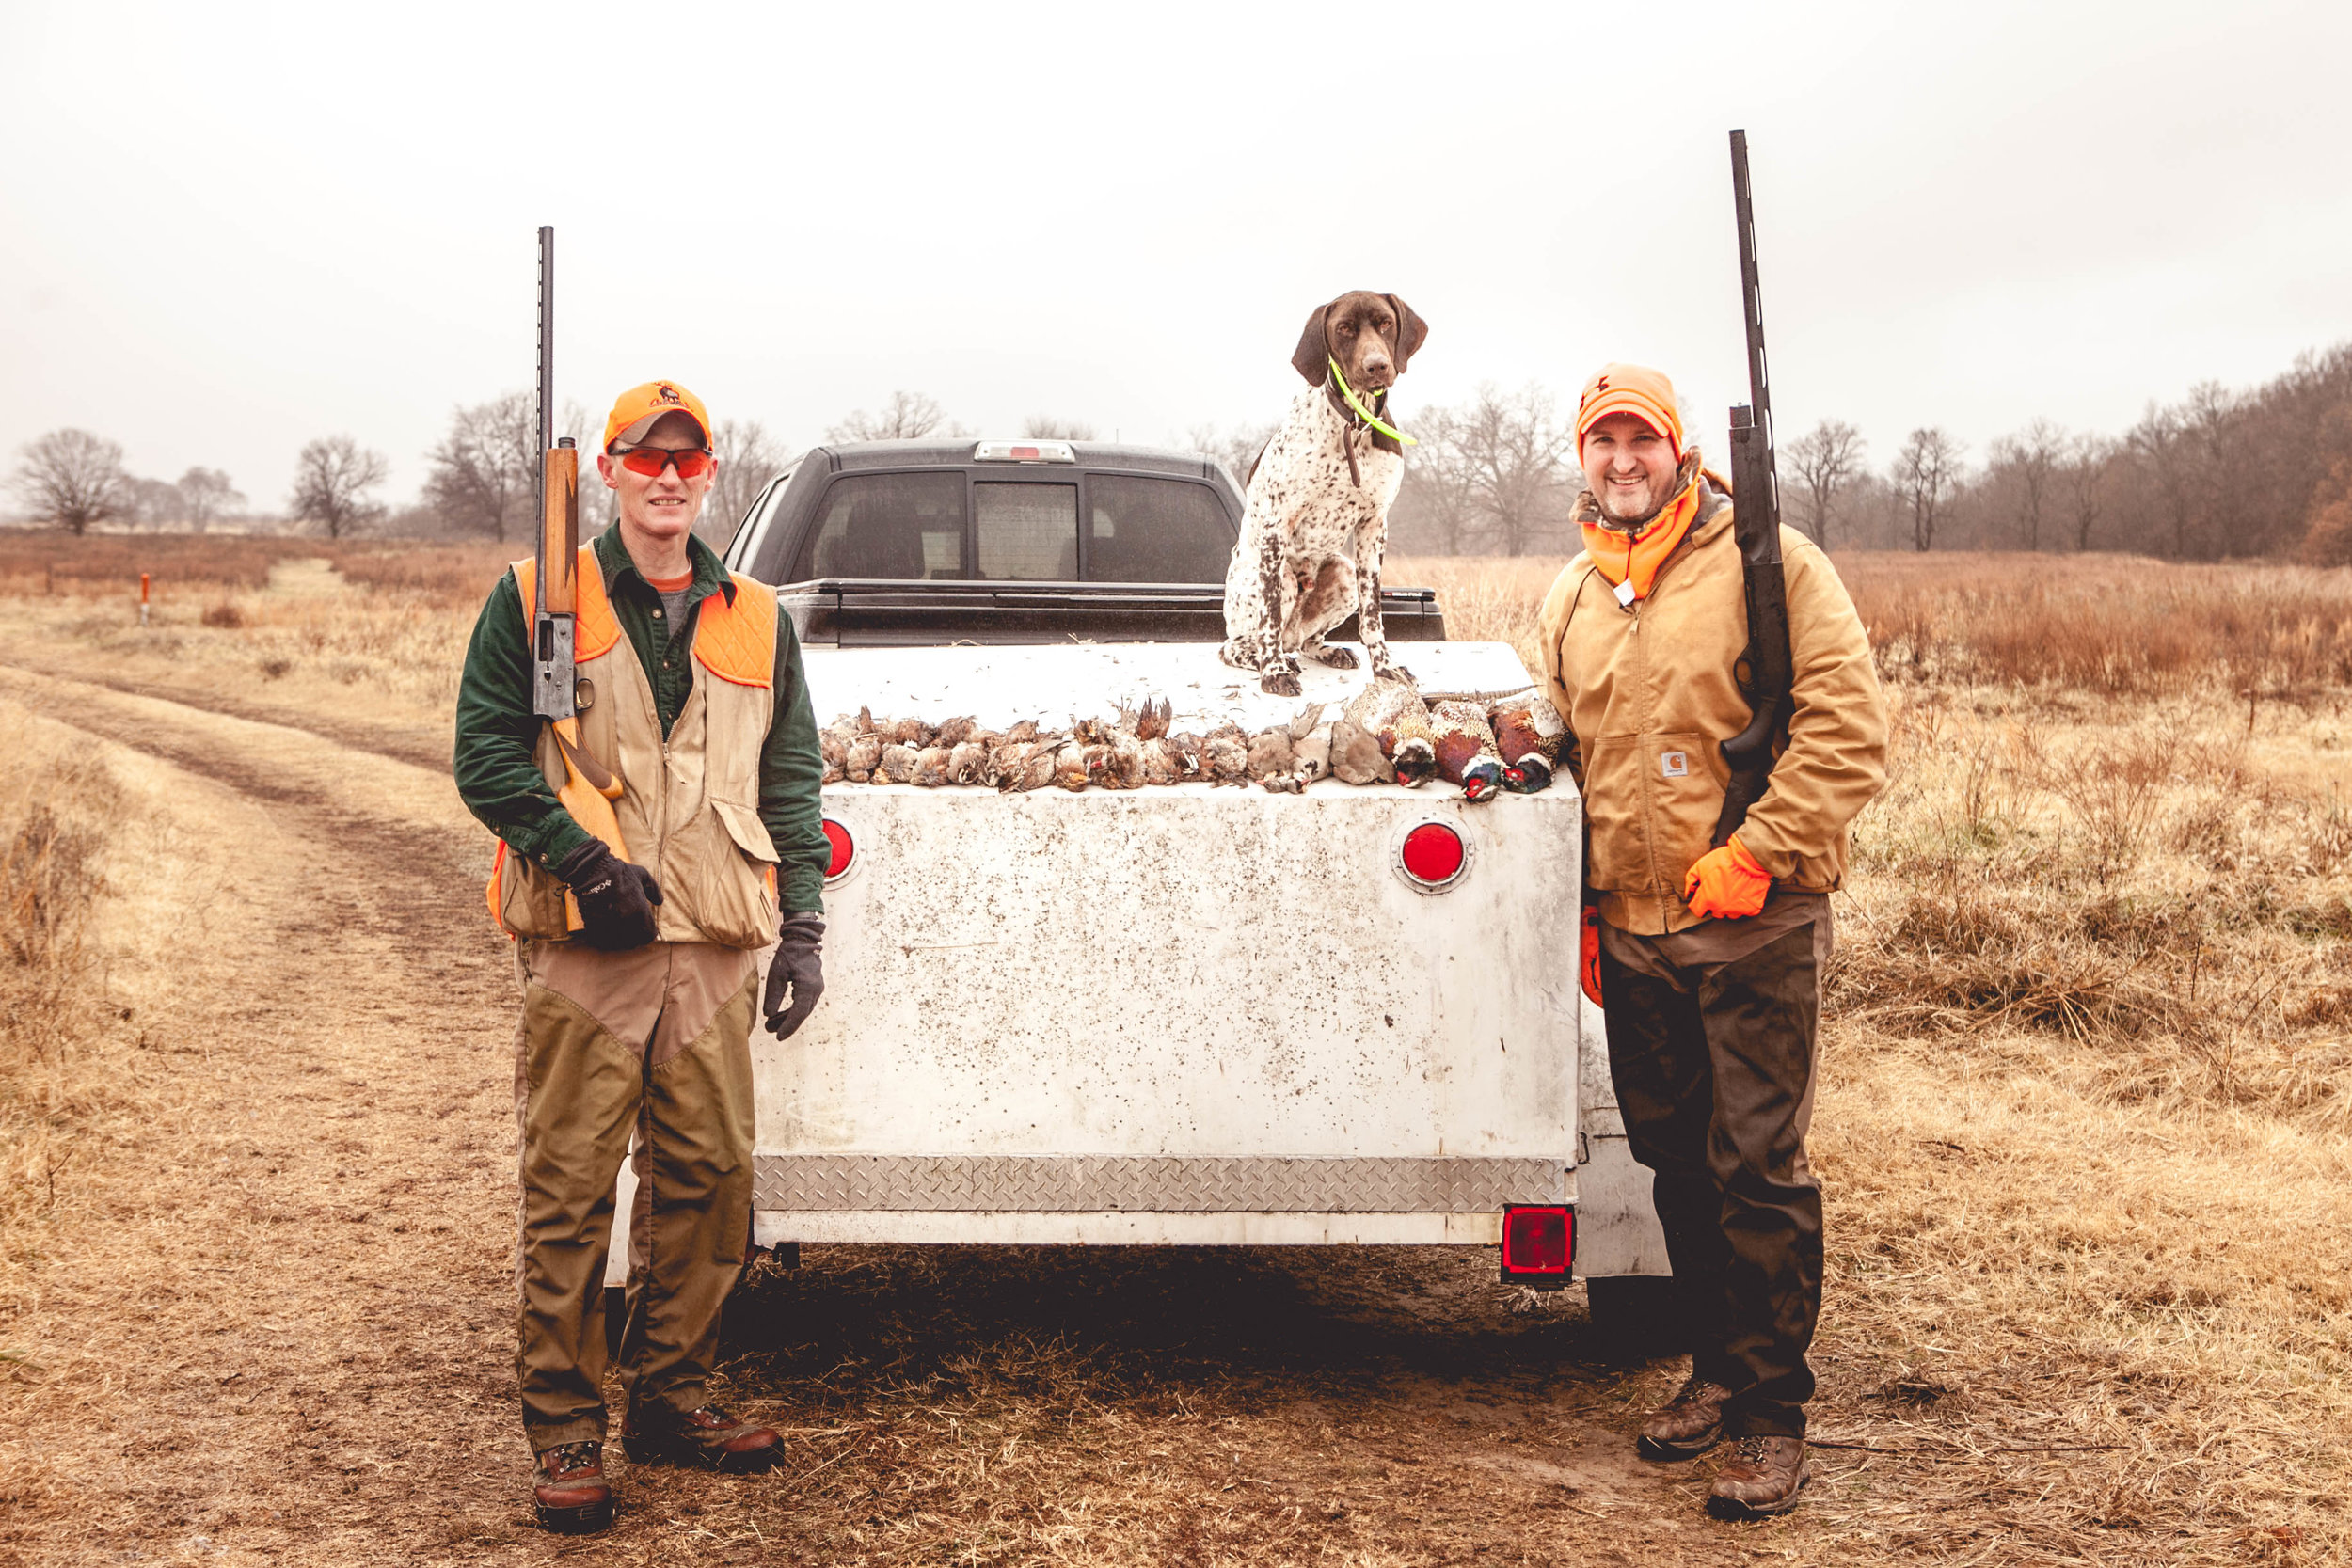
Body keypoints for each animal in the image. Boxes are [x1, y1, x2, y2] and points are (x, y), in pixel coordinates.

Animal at [1223, 290, 1421, 690]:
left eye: (1386, 323)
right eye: (1343, 328)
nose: (1377, 365)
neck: (1355, 425)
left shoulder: (1374, 525)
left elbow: (1373, 617)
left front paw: (1385, 667)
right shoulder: (1277, 524)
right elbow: (1268, 617)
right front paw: (1274, 673)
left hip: (1342, 572)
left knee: (1306, 641)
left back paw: (1326, 651)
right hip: (1275, 580)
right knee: (1240, 643)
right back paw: (1269, 659)